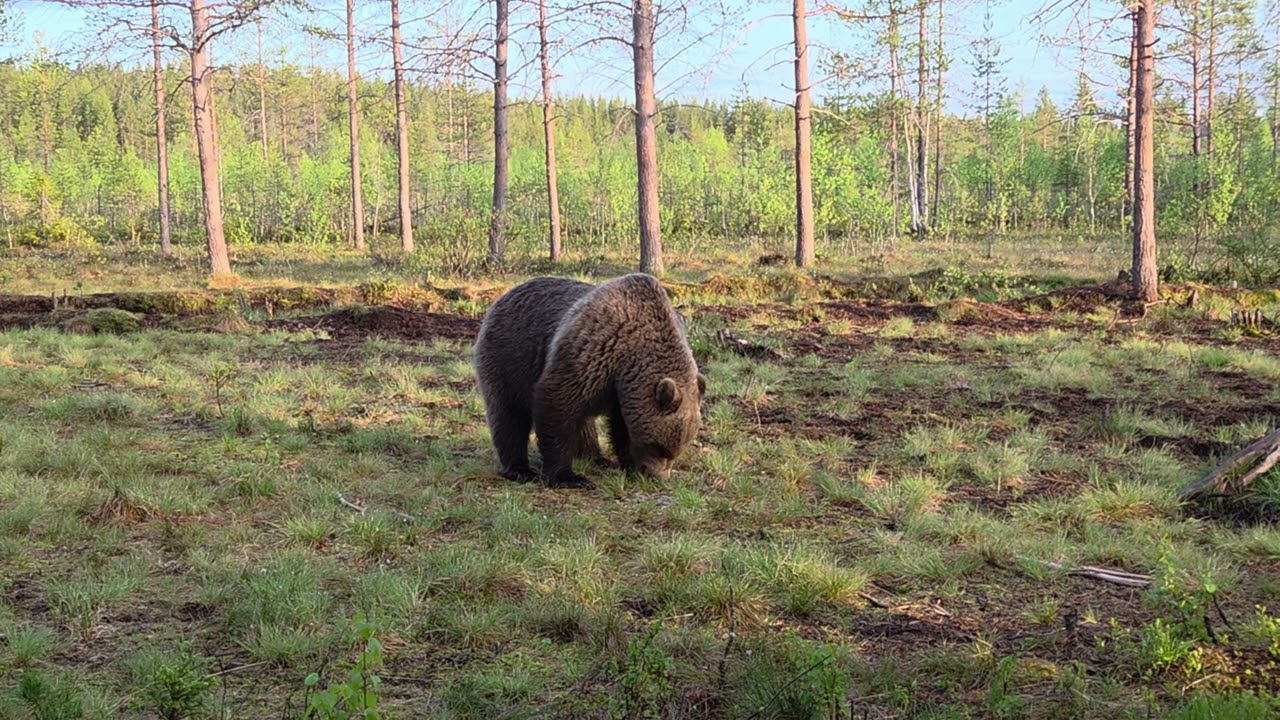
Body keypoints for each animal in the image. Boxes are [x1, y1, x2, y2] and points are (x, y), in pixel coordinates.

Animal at [473, 274, 705, 488]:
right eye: (658, 447)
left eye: (677, 451)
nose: (657, 477)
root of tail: (504, 296)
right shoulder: (593, 352)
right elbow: (556, 403)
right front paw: (568, 477)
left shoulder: (620, 389)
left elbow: (620, 426)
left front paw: (628, 464)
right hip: (509, 358)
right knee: (509, 415)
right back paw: (519, 469)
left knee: (584, 424)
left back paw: (597, 458)